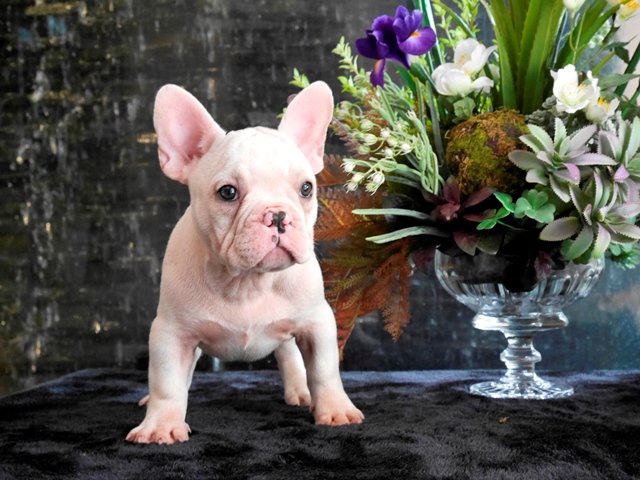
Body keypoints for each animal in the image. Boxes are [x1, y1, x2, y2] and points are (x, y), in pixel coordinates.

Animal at [126, 82, 364, 444]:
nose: (277, 215)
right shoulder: (171, 332)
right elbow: (166, 381)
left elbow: (324, 370)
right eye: (227, 192)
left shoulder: (317, 322)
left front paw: (335, 410)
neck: (248, 281)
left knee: (289, 355)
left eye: (306, 188)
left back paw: (301, 391)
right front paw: (161, 425)